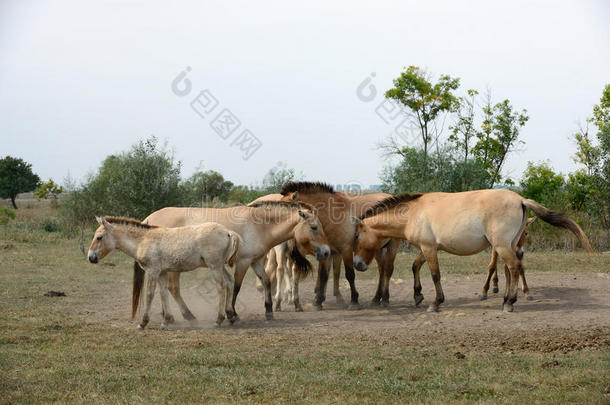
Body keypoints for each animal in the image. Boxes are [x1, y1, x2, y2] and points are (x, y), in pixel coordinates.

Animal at [135, 201, 330, 322]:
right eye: (314, 227)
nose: (326, 252)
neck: (259, 225)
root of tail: (149, 218)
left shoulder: (255, 261)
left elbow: (266, 281)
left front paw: (269, 311)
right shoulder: (243, 262)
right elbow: (236, 286)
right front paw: (233, 314)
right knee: (173, 288)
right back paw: (187, 316)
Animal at [350, 189, 592, 312]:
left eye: (357, 236)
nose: (357, 264)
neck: (413, 212)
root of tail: (520, 200)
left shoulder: (429, 248)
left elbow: (435, 275)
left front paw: (435, 302)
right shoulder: (427, 247)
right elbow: (415, 266)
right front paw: (418, 295)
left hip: (502, 246)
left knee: (514, 267)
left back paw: (509, 302)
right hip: (510, 245)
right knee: (510, 270)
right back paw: (506, 298)